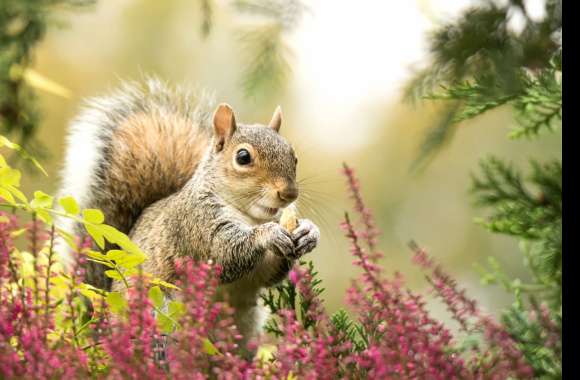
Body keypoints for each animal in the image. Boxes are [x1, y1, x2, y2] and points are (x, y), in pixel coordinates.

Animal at [57, 78, 322, 350]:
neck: (249, 215)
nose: (289, 193)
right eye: (243, 157)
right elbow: (224, 252)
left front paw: (309, 232)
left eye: (294, 156)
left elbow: (270, 273)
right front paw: (268, 234)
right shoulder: (195, 223)